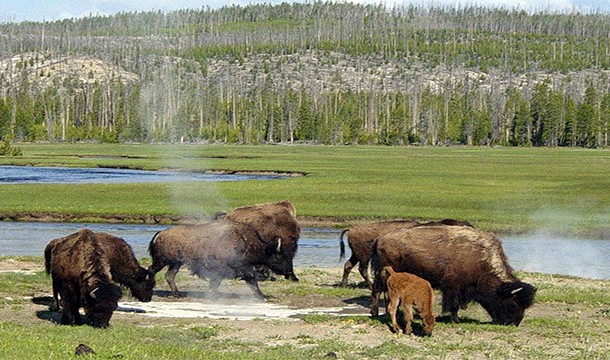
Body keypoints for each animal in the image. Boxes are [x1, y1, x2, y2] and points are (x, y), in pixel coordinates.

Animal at [340, 218, 472, 288]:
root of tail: (351, 229)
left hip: (357, 255)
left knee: (348, 265)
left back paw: (344, 284)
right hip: (364, 256)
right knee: (362, 269)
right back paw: (370, 285)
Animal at [368, 224, 536, 324]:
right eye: (513, 303)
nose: (514, 323)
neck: (480, 259)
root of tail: (380, 239)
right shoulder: (453, 286)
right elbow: (453, 303)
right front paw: (455, 319)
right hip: (383, 274)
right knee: (376, 290)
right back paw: (375, 313)